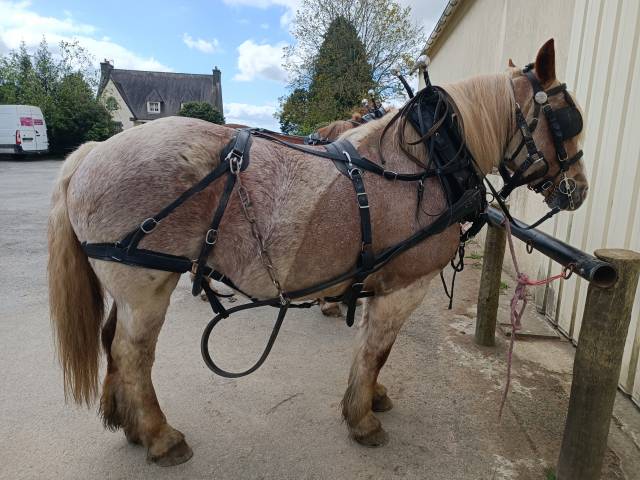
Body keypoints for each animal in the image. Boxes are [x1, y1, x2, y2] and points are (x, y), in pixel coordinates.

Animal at [48, 39, 587, 466]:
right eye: (567, 121)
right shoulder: (405, 286)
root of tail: (92, 152)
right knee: (132, 354)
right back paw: (160, 437)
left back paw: (126, 422)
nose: (578, 190)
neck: (425, 164)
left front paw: (373, 397)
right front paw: (362, 419)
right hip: (147, 286)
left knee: (112, 343)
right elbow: (377, 350)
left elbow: (372, 350)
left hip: (131, 283)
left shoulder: (378, 283)